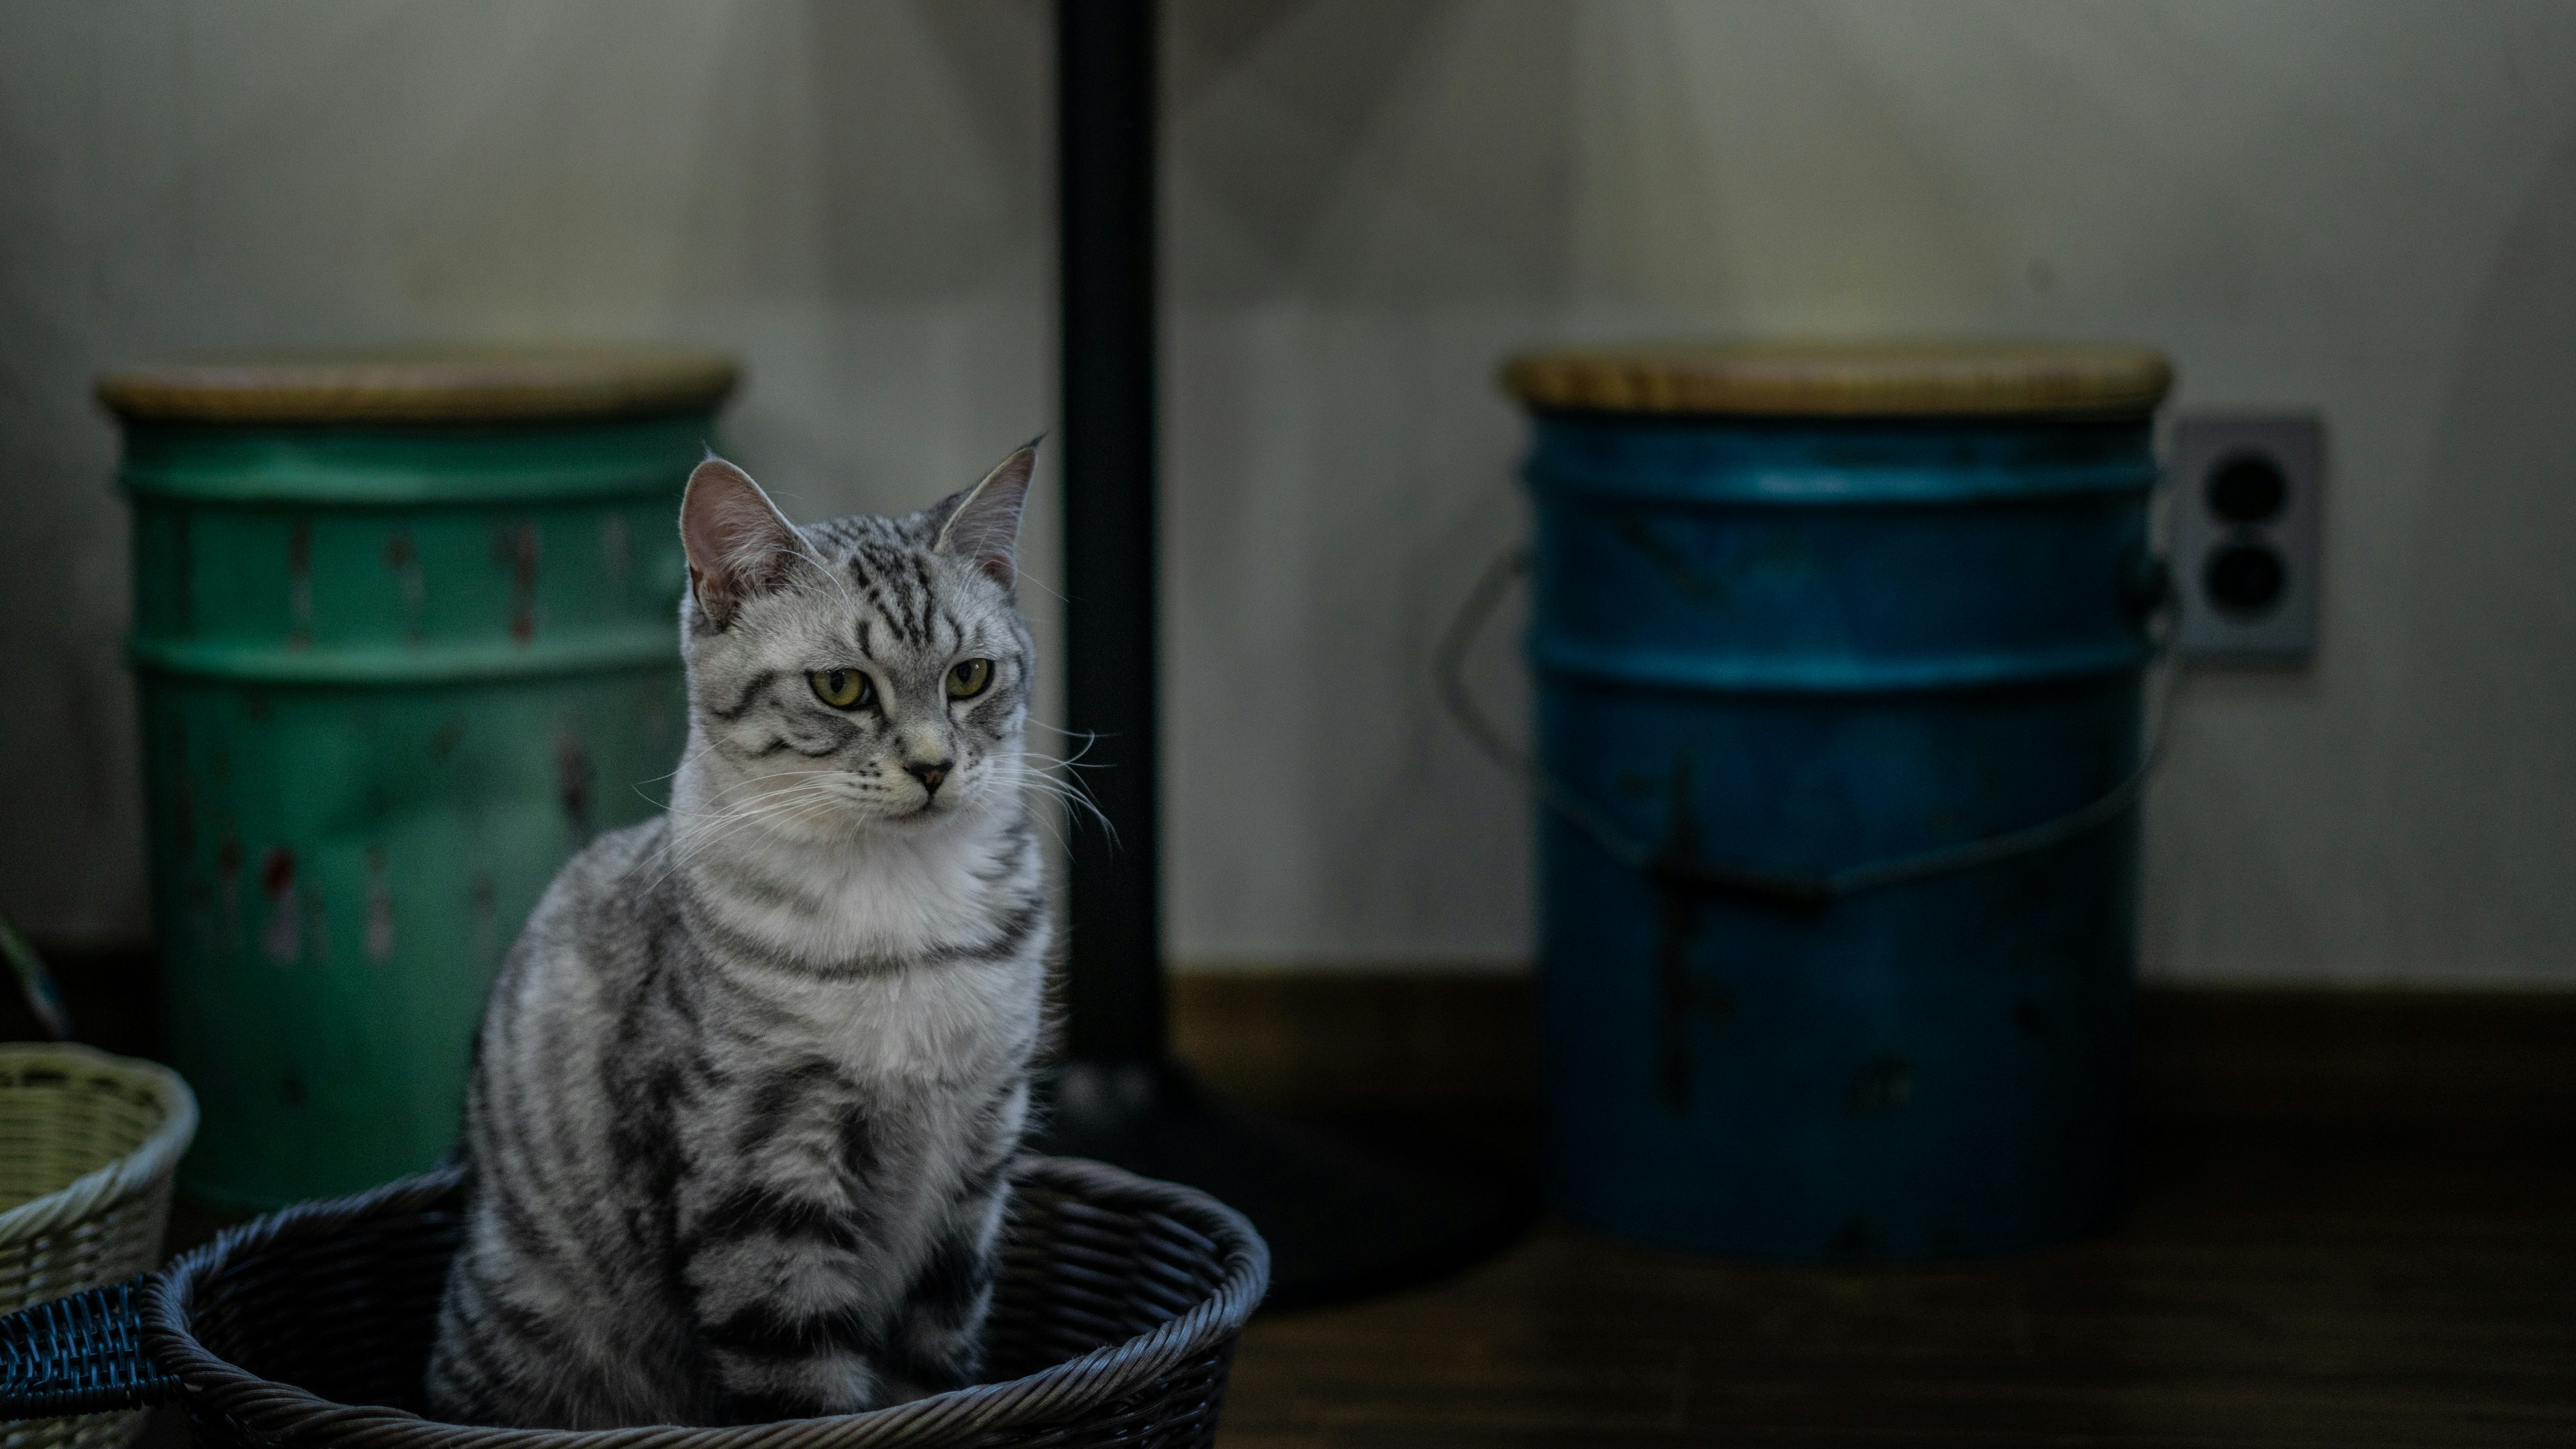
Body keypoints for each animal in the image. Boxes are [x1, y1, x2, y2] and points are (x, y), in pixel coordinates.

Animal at [427, 448, 1051, 1423]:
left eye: (970, 677)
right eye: (842, 687)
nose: (934, 766)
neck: (901, 915)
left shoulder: (978, 1159)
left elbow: (935, 1361)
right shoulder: (764, 1177)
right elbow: (805, 1387)